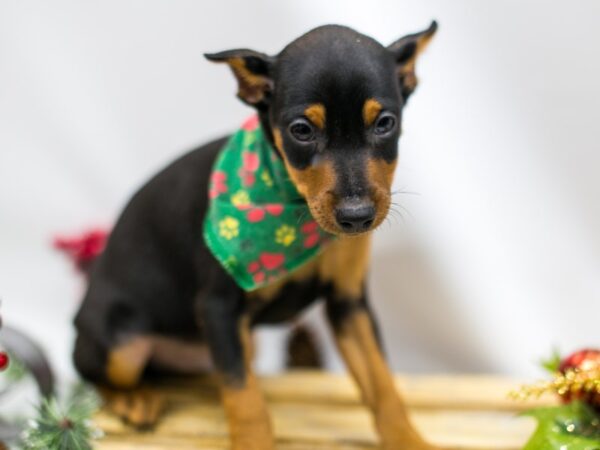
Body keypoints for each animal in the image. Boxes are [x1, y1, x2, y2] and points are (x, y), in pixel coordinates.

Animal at [72, 22, 438, 450]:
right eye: (301, 130)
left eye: (385, 123)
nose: (356, 217)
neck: (298, 211)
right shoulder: (218, 308)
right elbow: (244, 398)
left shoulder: (349, 303)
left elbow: (382, 383)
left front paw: (409, 440)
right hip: (121, 342)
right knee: (92, 374)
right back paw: (133, 400)